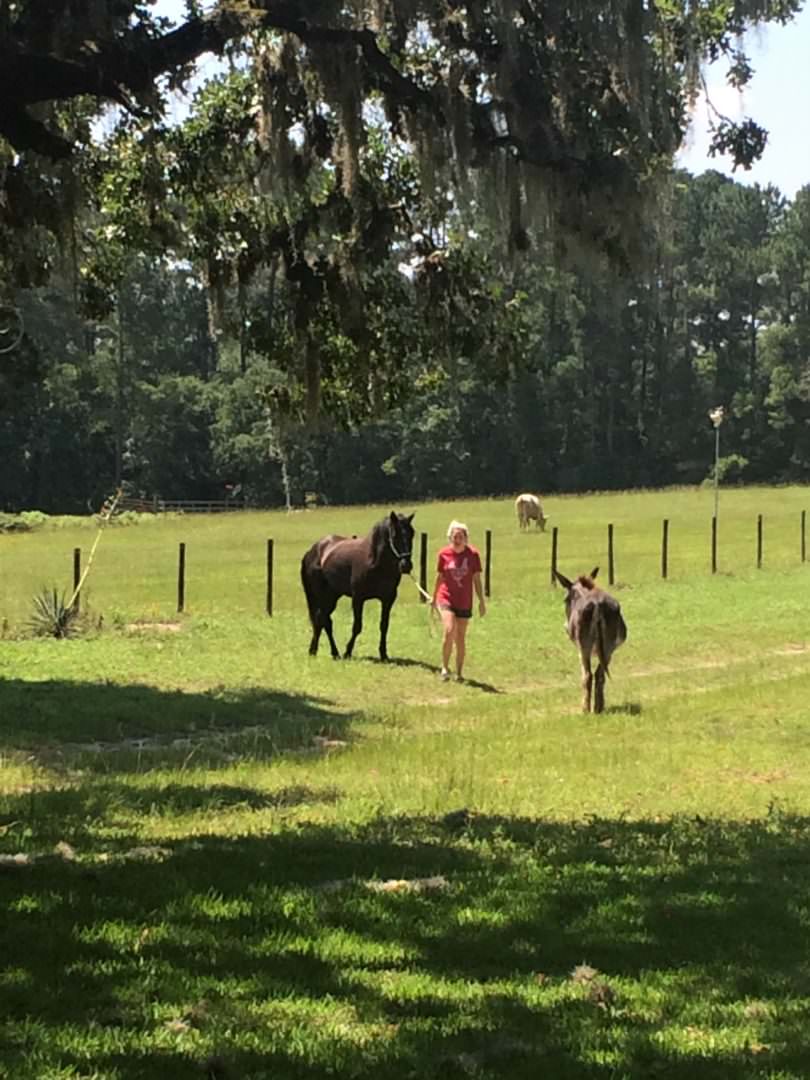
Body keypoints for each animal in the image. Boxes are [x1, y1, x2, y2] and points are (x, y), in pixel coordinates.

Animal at [302, 511, 419, 656]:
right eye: (394, 535)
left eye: (412, 534)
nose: (406, 565)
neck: (375, 562)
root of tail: (313, 551)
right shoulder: (358, 598)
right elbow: (357, 627)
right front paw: (348, 651)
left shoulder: (388, 599)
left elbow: (384, 625)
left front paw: (383, 654)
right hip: (322, 596)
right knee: (323, 620)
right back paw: (327, 651)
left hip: (332, 596)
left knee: (323, 620)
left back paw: (323, 651)